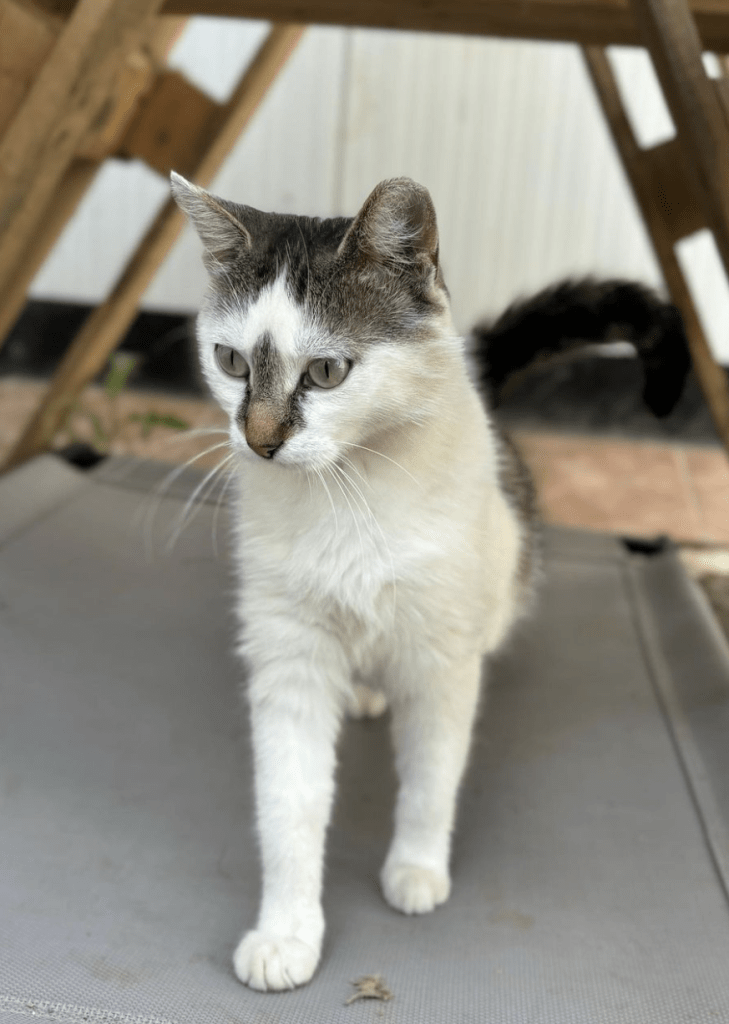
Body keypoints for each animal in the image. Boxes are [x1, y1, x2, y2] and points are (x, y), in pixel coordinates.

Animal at [168, 172, 688, 987]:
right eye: (229, 362)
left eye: (326, 371)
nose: (258, 442)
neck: (346, 492)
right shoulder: (289, 656)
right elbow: (288, 802)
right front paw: (286, 933)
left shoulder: (440, 658)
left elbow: (432, 774)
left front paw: (414, 869)